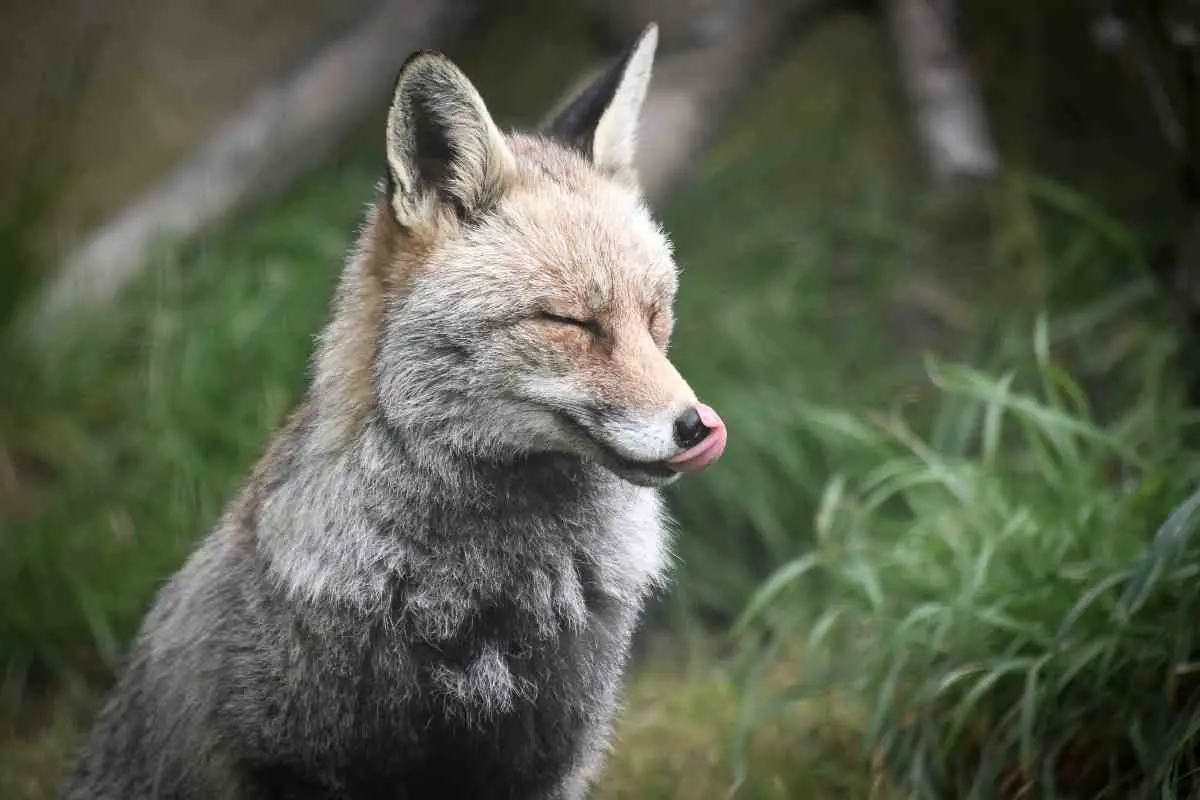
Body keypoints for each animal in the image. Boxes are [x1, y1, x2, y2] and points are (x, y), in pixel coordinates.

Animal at [60, 22, 727, 800]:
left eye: (655, 316)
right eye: (570, 322)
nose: (697, 427)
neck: (485, 605)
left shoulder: (548, 758)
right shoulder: (293, 762)